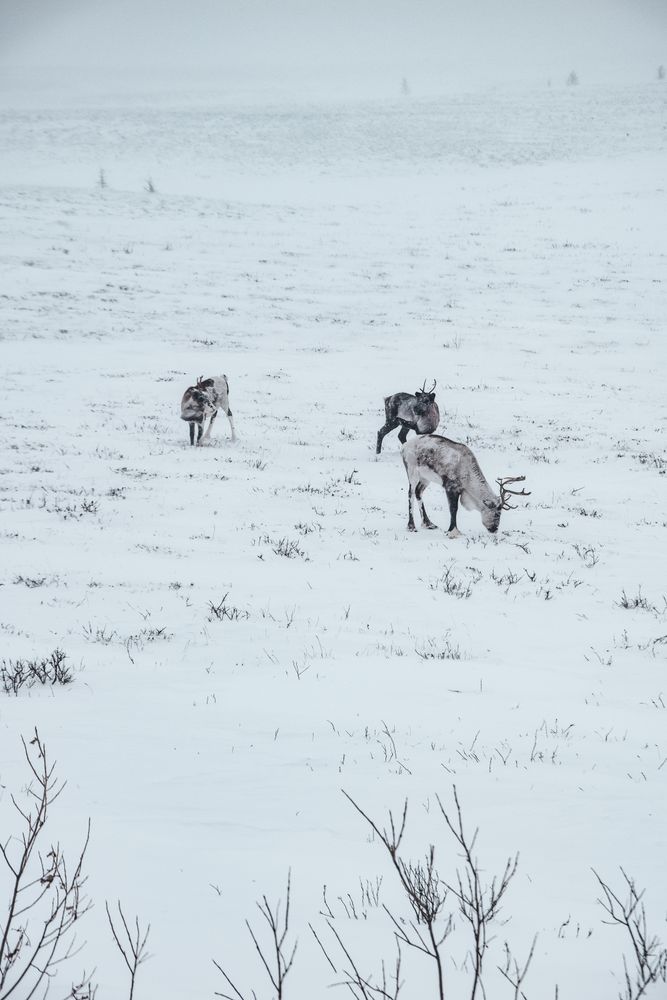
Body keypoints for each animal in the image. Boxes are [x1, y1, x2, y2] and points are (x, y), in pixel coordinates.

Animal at [401, 434, 530, 536]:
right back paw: (411, 526)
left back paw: (428, 524)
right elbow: (453, 509)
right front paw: (453, 531)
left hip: (425, 478)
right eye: (497, 513)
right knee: (410, 494)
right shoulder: (450, 487)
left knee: (418, 492)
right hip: (412, 471)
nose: (494, 530)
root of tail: (404, 446)